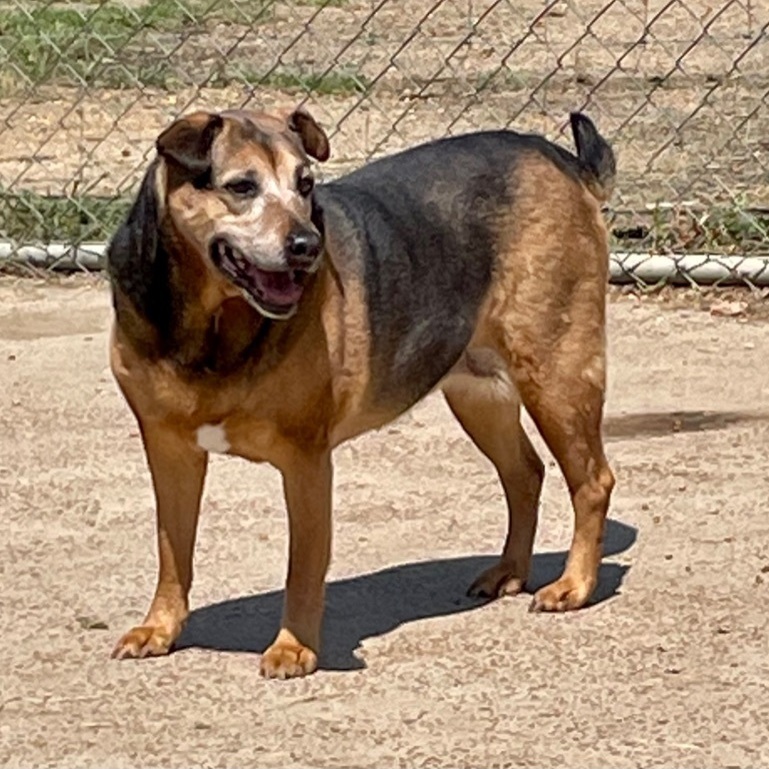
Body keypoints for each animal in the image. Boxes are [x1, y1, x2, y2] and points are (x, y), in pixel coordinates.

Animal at [105, 106, 616, 680]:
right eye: (241, 186)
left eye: (306, 184)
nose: (307, 246)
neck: (209, 325)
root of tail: (561, 158)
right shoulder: (168, 450)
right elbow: (172, 549)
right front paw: (160, 627)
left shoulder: (305, 460)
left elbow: (303, 565)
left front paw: (293, 647)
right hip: (477, 392)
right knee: (524, 472)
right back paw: (509, 571)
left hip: (556, 373)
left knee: (592, 480)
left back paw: (574, 585)